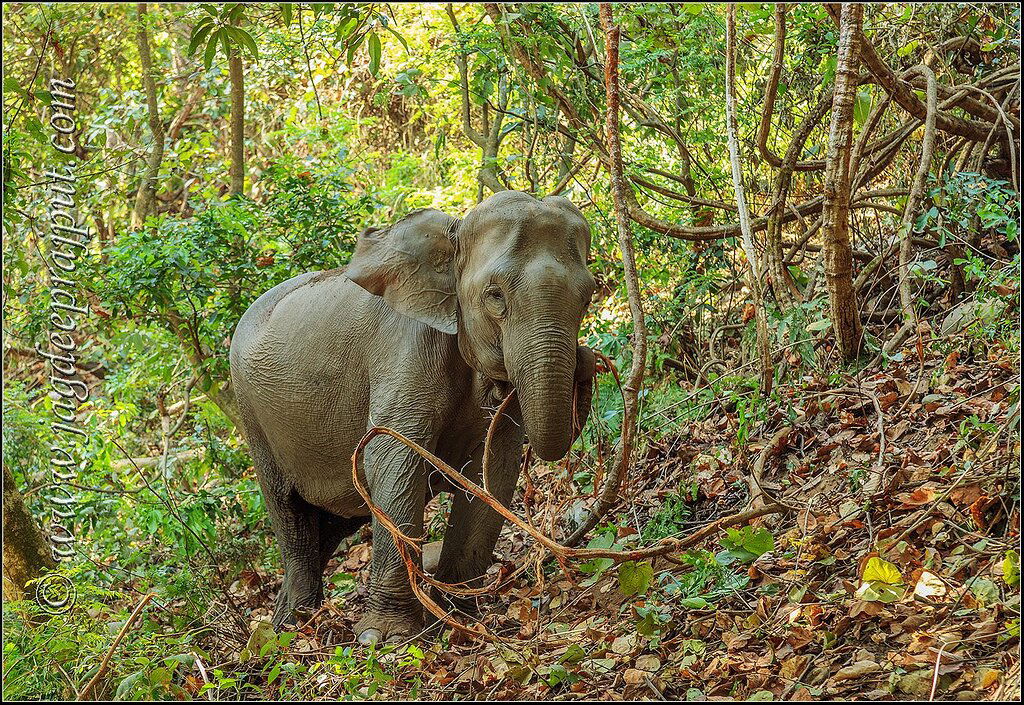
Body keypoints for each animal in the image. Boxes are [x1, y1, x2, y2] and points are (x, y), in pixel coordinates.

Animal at [229, 190, 597, 644]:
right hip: (253, 415)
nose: (586, 359)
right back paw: (294, 626)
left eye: (589, 296)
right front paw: (384, 638)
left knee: (334, 521)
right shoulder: (404, 348)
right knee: (289, 512)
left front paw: (460, 622)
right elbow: (391, 458)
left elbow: (493, 472)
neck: (453, 231)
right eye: (495, 296)